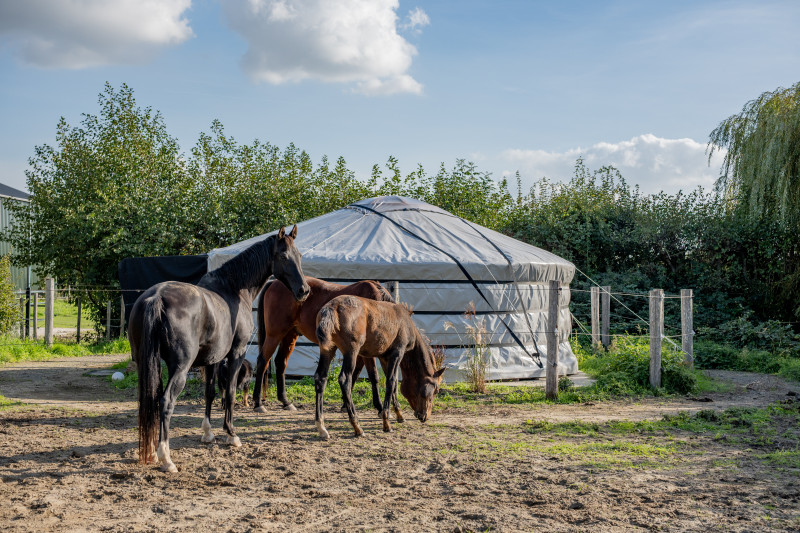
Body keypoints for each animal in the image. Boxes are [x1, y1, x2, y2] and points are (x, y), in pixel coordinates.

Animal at [128, 225, 310, 472]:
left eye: (299, 255)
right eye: (283, 256)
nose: (304, 290)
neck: (233, 289)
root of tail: (156, 297)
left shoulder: (213, 360)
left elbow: (210, 393)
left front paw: (208, 433)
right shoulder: (236, 353)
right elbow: (230, 393)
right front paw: (231, 434)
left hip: (145, 364)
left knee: (148, 401)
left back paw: (150, 451)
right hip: (180, 368)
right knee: (166, 401)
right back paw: (166, 457)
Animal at [252, 276, 403, 420]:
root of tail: (274, 282)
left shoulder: (359, 351)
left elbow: (356, 374)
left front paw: (345, 404)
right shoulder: (364, 354)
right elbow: (373, 376)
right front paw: (379, 407)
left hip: (290, 335)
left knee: (280, 362)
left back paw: (285, 401)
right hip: (274, 335)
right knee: (262, 361)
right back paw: (258, 403)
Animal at [314, 295, 445, 440]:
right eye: (436, 390)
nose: (425, 416)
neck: (406, 323)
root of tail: (331, 307)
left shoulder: (384, 357)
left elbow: (393, 383)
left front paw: (399, 414)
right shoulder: (397, 353)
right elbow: (391, 382)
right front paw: (386, 422)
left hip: (328, 349)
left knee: (321, 378)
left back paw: (322, 427)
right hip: (351, 351)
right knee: (345, 380)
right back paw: (357, 426)